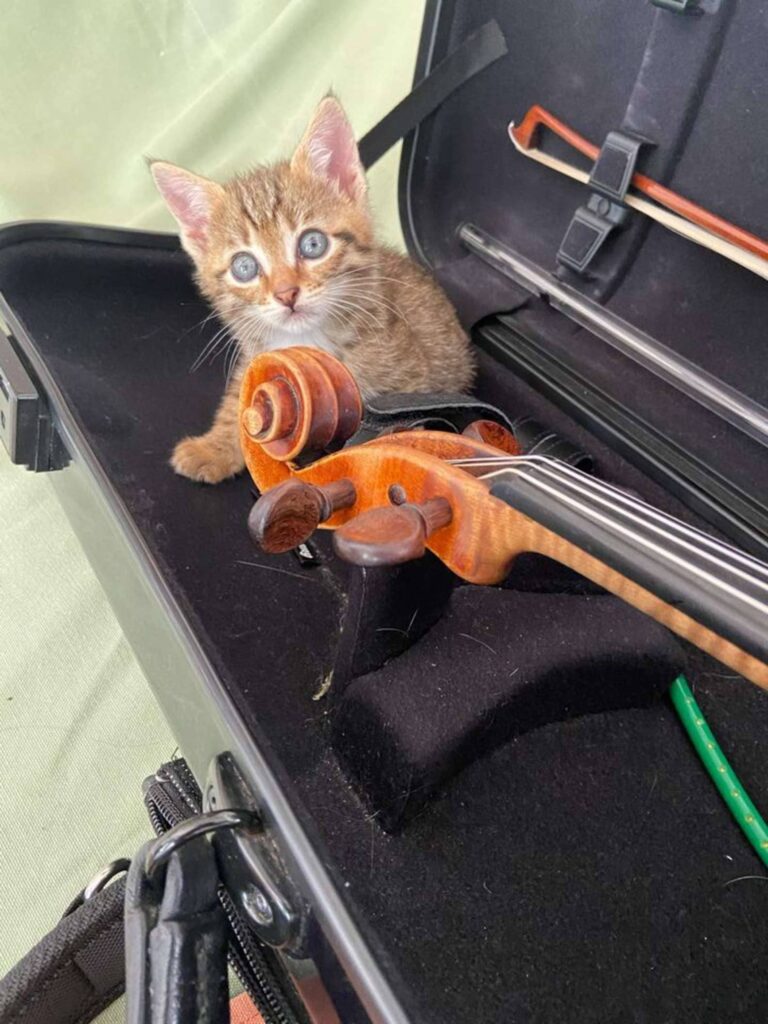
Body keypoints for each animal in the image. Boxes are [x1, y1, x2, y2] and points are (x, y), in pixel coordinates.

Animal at [150, 96, 475, 483]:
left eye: (313, 244)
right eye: (244, 267)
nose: (286, 294)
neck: (311, 340)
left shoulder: (409, 384)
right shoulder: (255, 356)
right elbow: (239, 402)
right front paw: (212, 446)